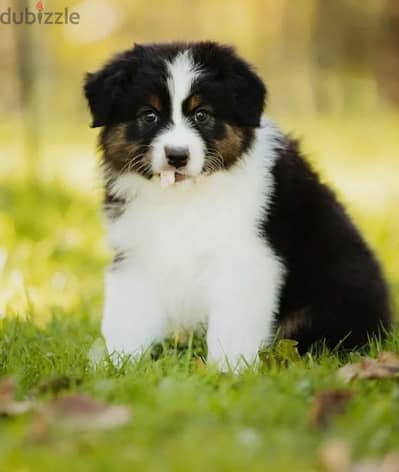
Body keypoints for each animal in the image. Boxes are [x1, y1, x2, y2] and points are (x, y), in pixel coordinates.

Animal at [83, 41, 392, 368]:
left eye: (202, 115)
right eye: (149, 115)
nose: (177, 156)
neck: (186, 197)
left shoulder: (245, 257)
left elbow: (233, 323)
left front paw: (226, 369)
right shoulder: (137, 252)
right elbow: (127, 315)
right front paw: (119, 365)